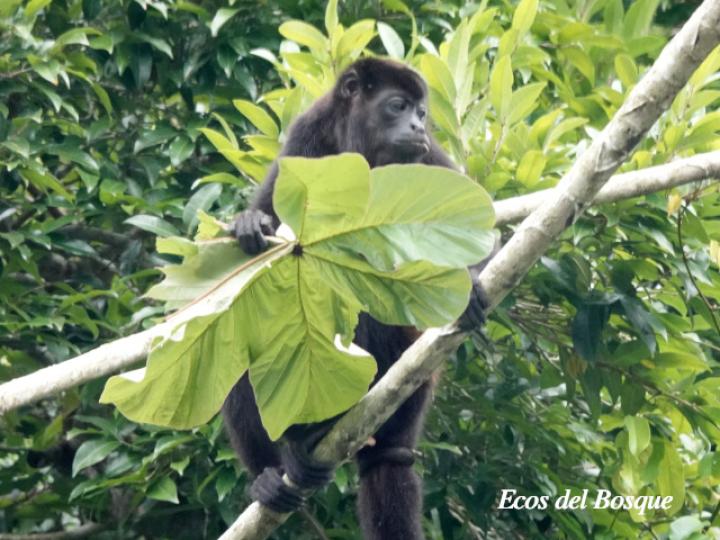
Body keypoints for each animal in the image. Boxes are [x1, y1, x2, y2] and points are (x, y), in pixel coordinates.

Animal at [222, 58, 489, 540]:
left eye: (422, 111)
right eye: (398, 106)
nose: (417, 125)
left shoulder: (426, 155)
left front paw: (471, 289)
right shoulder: (306, 135)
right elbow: (269, 214)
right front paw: (249, 224)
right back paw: (275, 469)